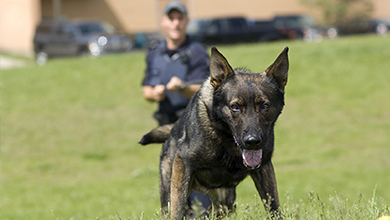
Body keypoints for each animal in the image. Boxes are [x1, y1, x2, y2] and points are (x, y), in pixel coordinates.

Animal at [140, 46, 290, 218]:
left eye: (265, 106)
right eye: (234, 107)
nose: (252, 141)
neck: (227, 140)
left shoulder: (264, 167)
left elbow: (273, 205)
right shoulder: (182, 164)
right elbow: (177, 209)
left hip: (225, 202)